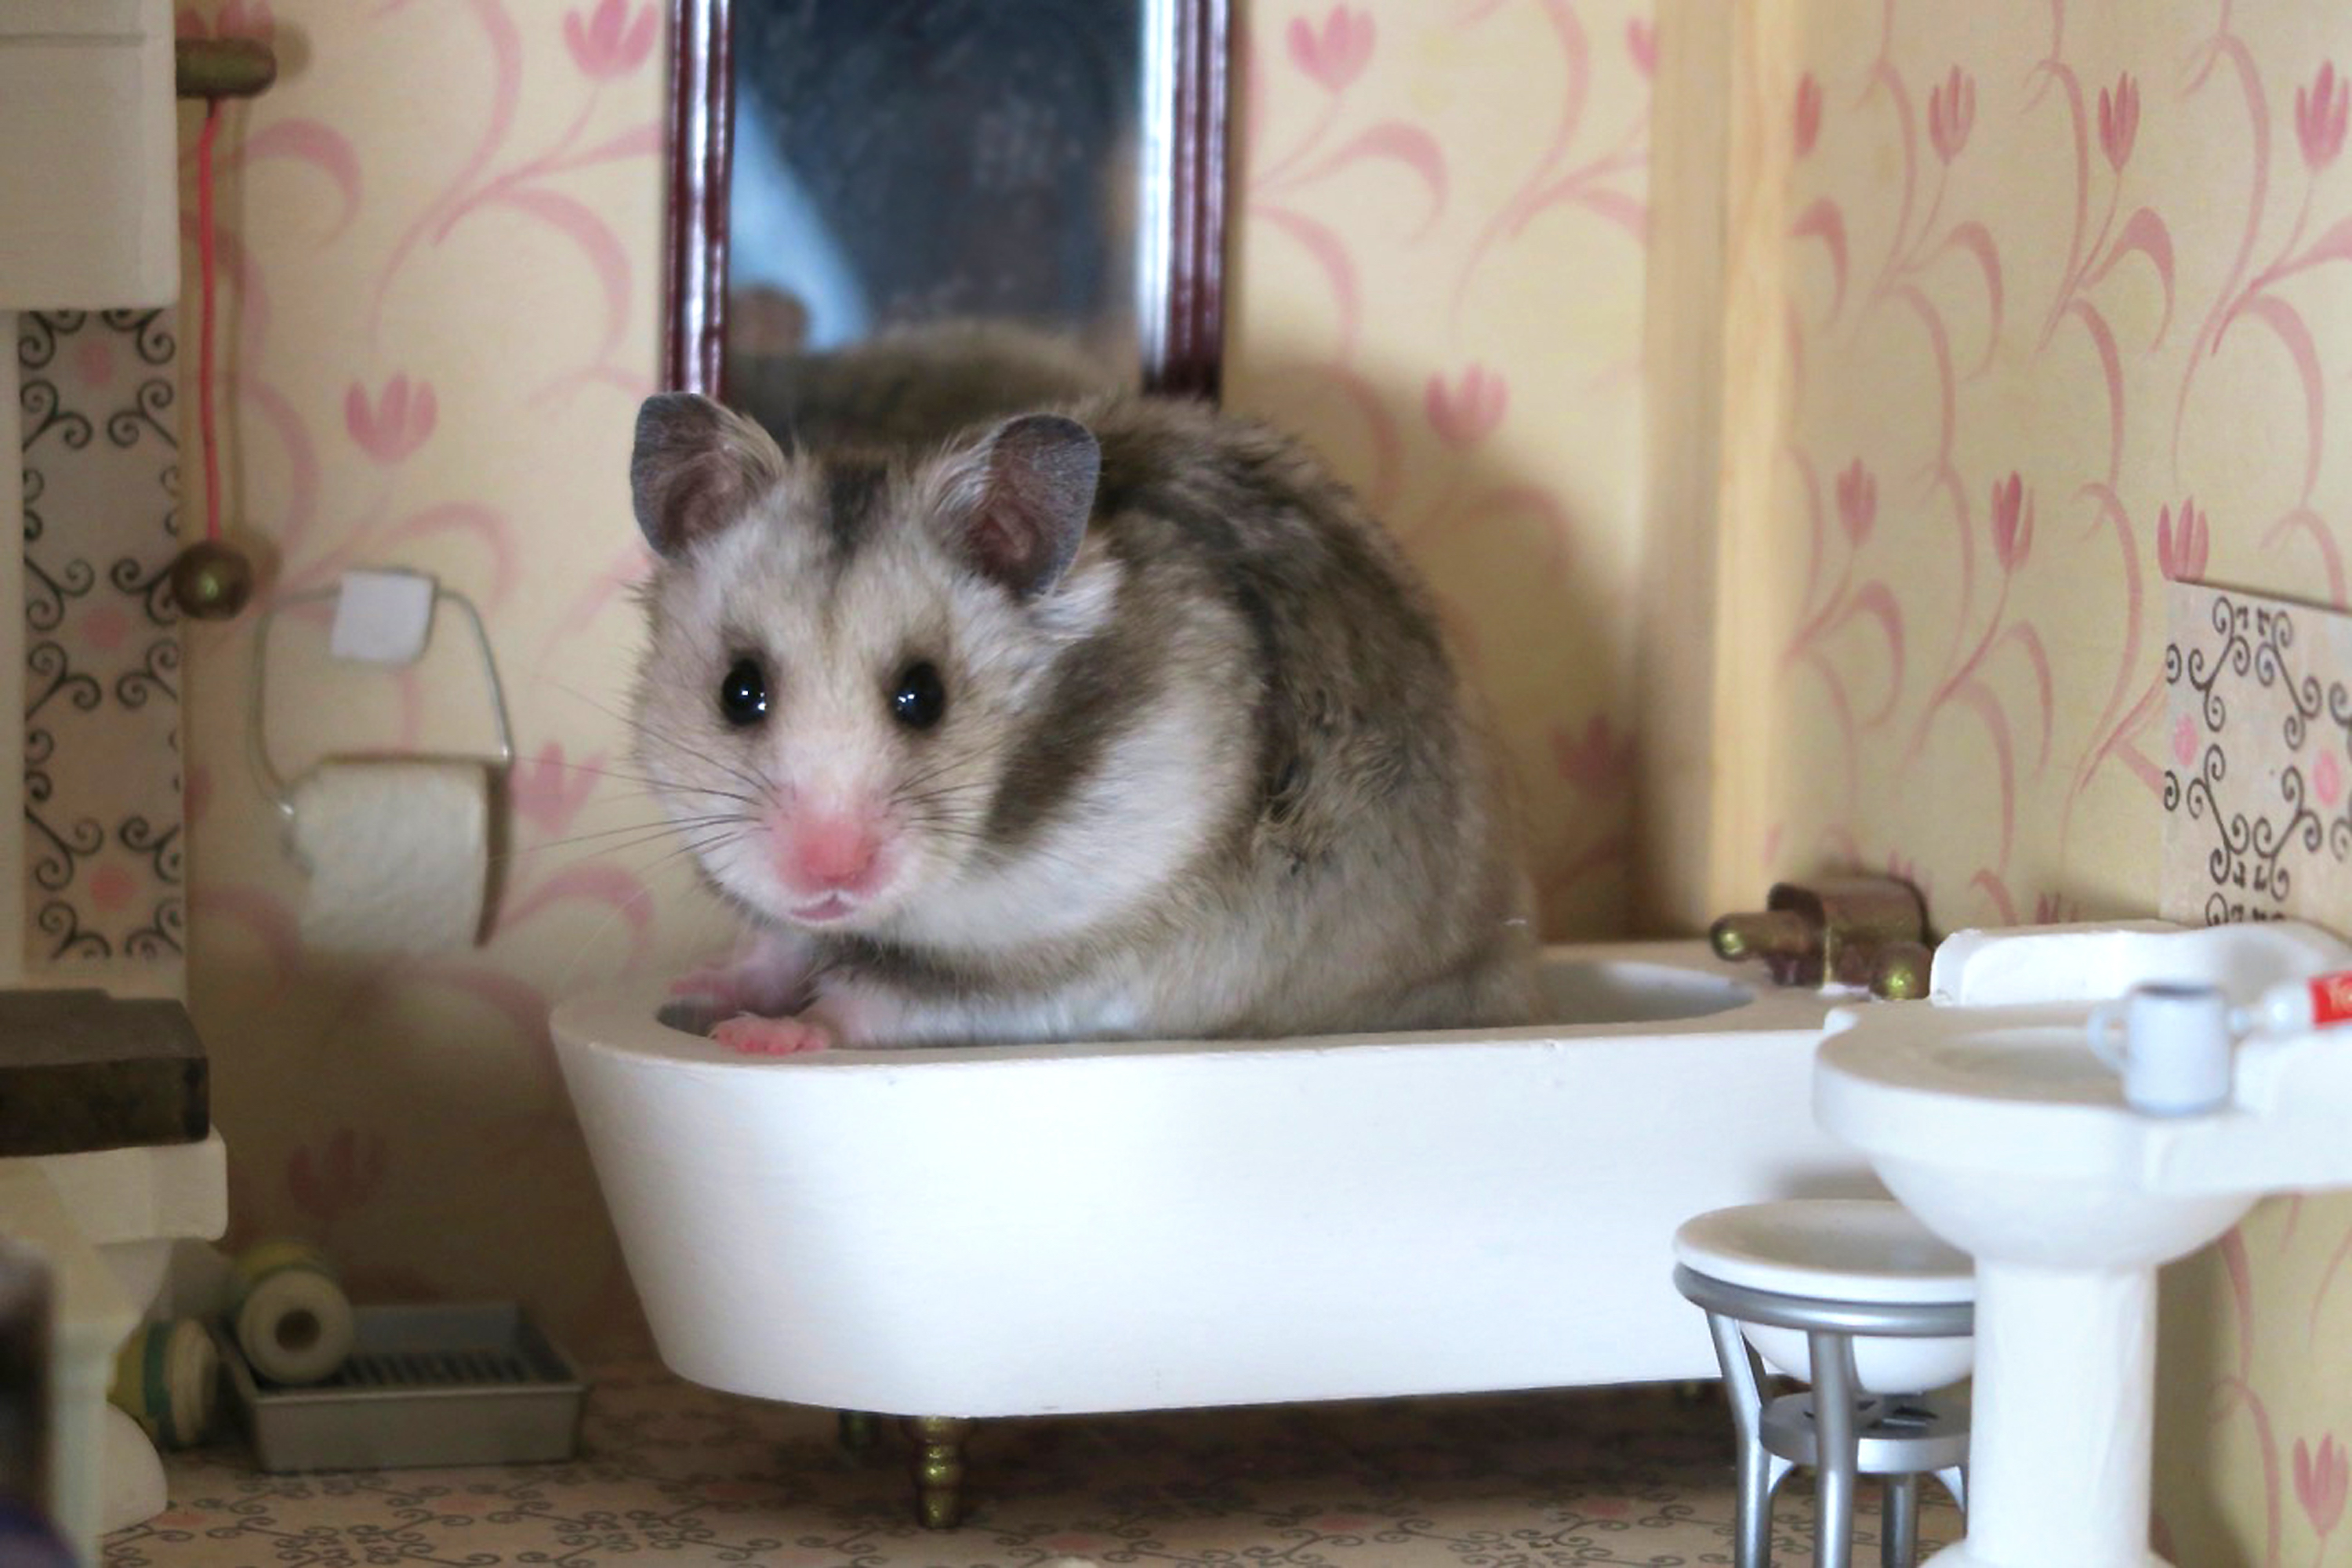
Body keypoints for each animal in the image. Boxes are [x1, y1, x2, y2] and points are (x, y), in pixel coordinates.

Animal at [628, 390, 1537, 1052]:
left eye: (924, 695)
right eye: (739, 691)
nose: (828, 875)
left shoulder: (1070, 965)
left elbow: (877, 1003)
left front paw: (759, 1036)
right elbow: (778, 945)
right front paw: (694, 990)